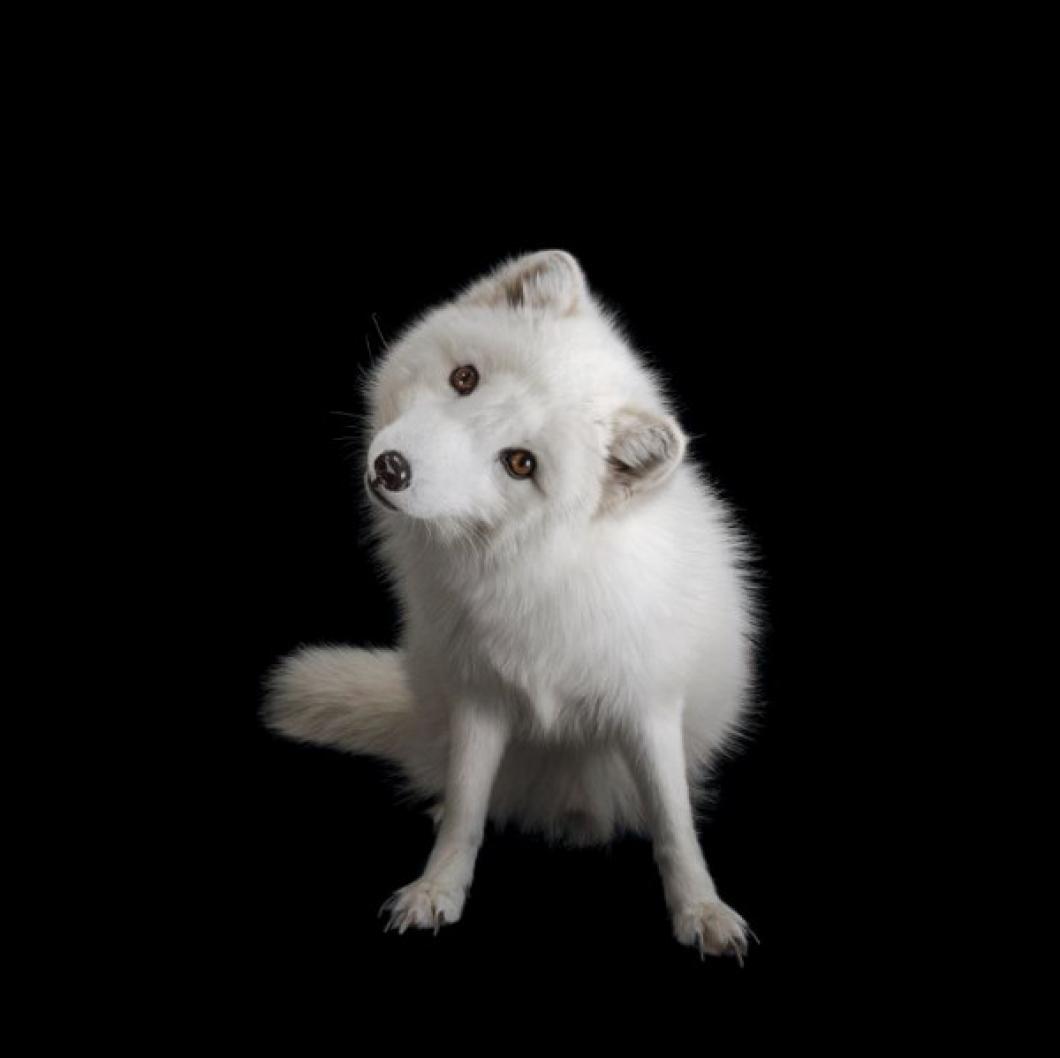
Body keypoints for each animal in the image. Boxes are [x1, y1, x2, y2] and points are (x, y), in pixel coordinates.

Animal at [269, 254, 758, 962]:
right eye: (464, 379)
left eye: (521, 464)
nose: (391, 469)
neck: (542, 574)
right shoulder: (480, 697)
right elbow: (468, 809)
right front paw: (437, 889)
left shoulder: (649, 706)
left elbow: (673, 825)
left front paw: (702, 909)